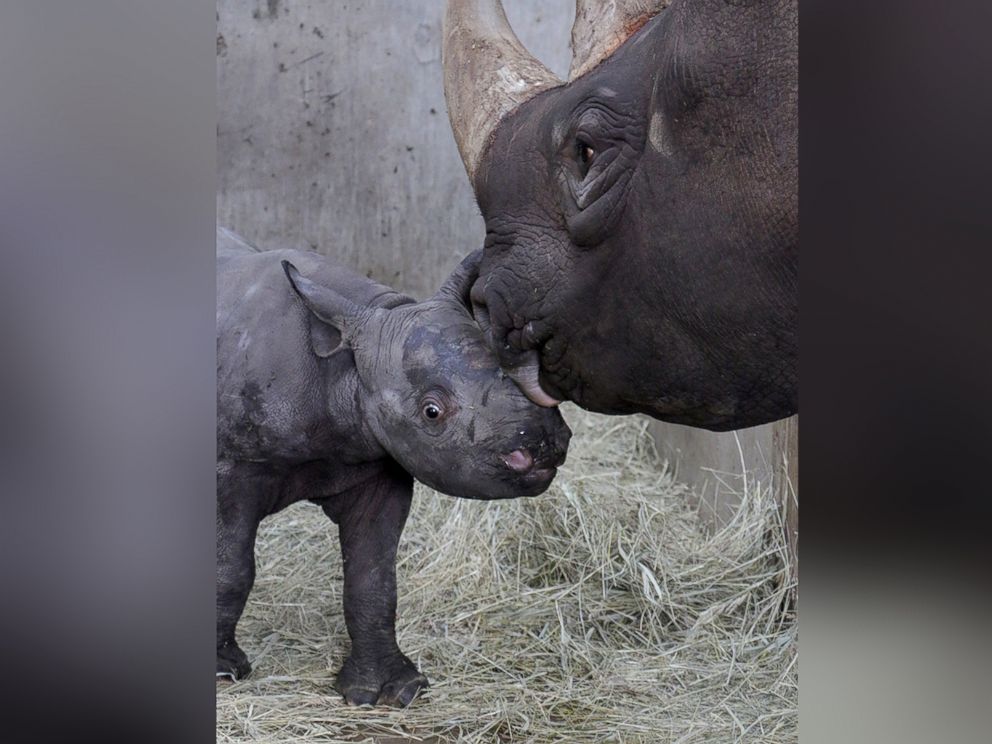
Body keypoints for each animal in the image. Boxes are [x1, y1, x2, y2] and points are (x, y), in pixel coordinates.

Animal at [219, 230, 572, 708]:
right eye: (431, 412)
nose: (544, 447)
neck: (342, 370)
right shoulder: (234, 466)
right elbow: (232, 568)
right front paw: (222, 672)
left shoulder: (379, 464)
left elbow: (374, 579)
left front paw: (389, 692)